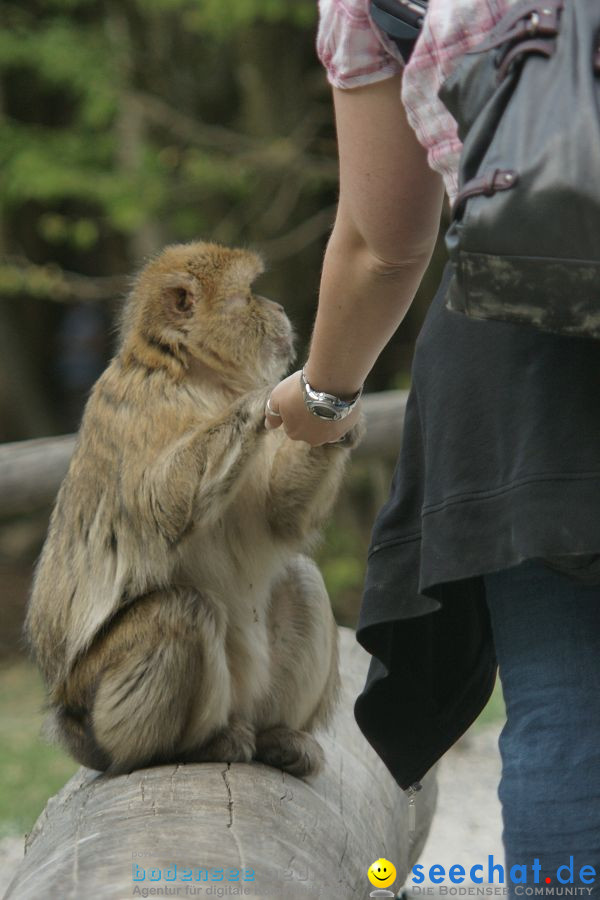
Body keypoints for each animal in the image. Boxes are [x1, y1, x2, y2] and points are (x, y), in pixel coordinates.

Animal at [24, 243, 360, 776]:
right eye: (249, 293)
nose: (278, 307)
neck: (192, 376)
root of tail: (69, 725)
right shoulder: (141, 408)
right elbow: (161, 509)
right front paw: (264, 399)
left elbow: (280, 521)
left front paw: (335, 422)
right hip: (101, 716)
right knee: (179, 609)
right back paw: (185, 749)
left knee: (302, 577)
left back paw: (278, 737)